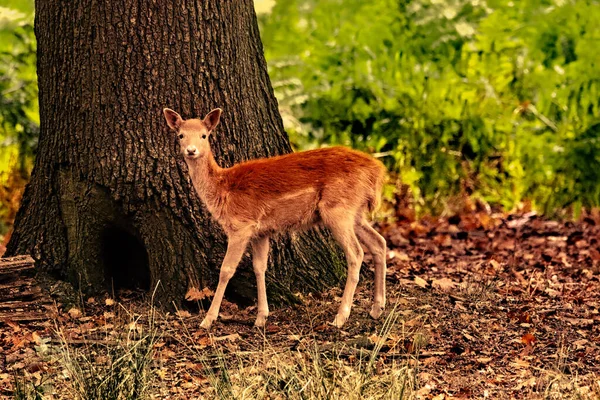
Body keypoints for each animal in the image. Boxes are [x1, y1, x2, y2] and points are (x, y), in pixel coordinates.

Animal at [164, 108, 390, 330]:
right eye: (181, 135)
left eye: (204, 135)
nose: (191, 150)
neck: (223, 188)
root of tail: (377, 171)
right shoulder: (261, 231)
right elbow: (259, 267)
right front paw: (261, 318)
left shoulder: (241, 225)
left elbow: (226, 270)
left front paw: (207, 320)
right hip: (355, 212)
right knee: (379, 242)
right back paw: (377, 308)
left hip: (338, 209)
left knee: (356, 253)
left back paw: (341, 317)